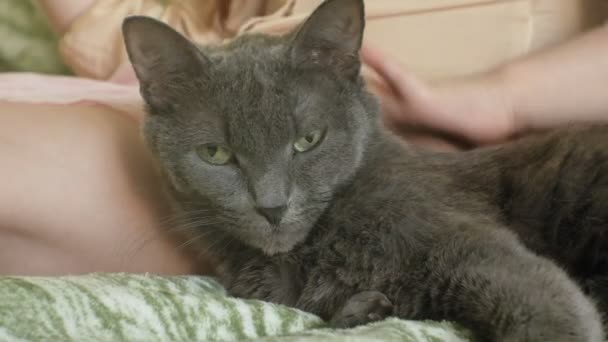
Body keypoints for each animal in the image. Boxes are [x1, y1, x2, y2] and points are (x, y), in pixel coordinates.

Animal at [121, 1, 604, 340]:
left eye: (308, 140)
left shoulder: (475, 247)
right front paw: (365, 307)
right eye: (216, 153)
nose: (272, 207)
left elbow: (541, 300)